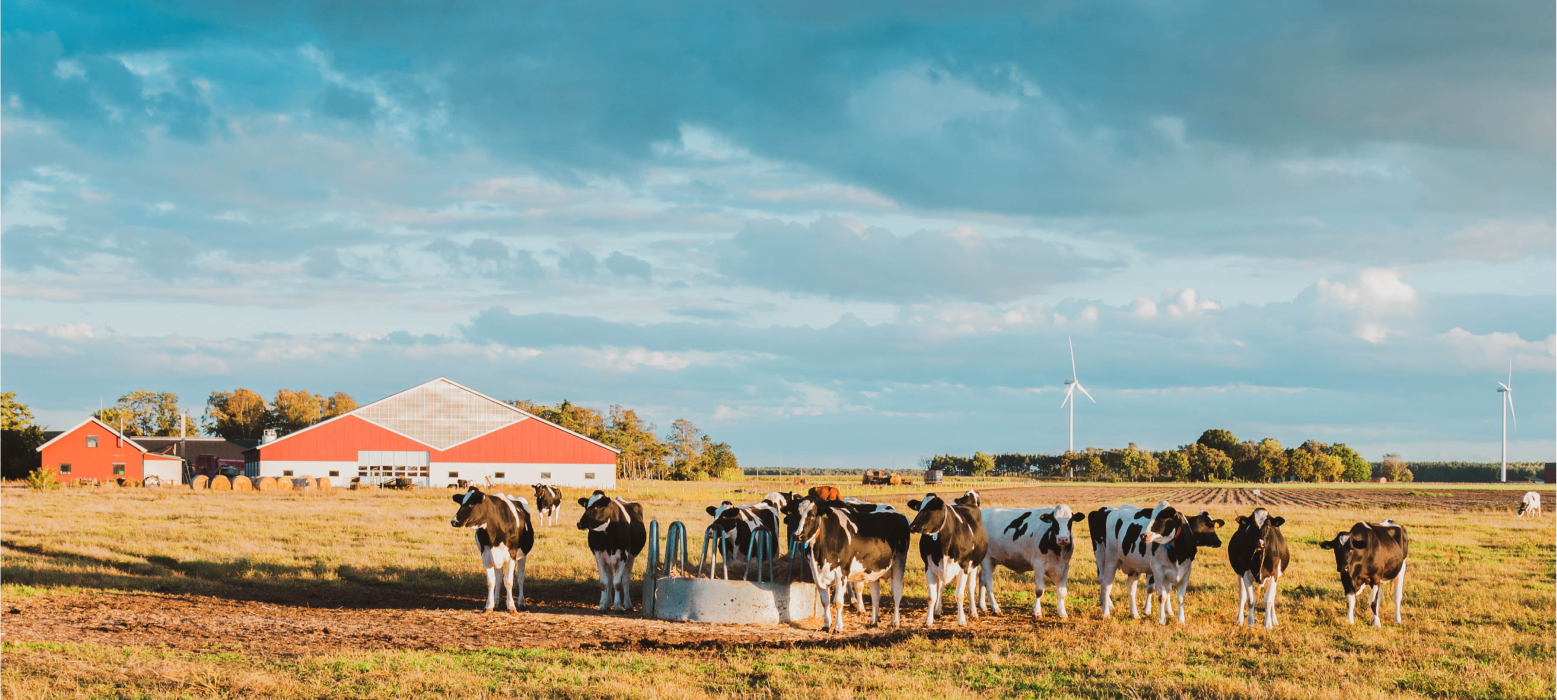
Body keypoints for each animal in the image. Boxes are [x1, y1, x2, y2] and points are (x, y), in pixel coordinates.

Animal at [797, 494, 909, 631]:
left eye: (812, 515)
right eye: (796, 514)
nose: (797, 536)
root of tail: (899, 515)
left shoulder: (841, 572)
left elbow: (839, 601)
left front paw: (838, 627)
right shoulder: (816, 574)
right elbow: (825, 601)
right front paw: (826, 625)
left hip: (899, 563)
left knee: (897, 592)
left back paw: (895, 621)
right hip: (873, 568)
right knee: (875, 594)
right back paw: (873, 621)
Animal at [903, 488, 984, 625]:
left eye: (931, 509)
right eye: (919, 508)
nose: (912, 526)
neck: (943, 545)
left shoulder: (964, 566)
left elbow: (960, 595)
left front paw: (961, 620)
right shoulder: (929, 566)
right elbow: (931, 596)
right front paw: (928, 620)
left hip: (973, 565)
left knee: (971, 586)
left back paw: (973, 612)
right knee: (940, 586)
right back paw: (937, 610)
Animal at [1089, 500, 1220, 625]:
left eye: (1163, 518)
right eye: (1152, 515)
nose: (1143, 535)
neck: (1176, 554)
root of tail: (1112, 510)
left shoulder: (1185, 572)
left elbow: (1180, 597)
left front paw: (1180, 619)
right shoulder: (1157, 571)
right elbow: (1161, 595)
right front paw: (1161, 618)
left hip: (1133, 566)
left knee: (1131, 588)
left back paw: (1134, 614)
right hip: (1107, 557)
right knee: (1106, 584)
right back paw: (1106, 612)